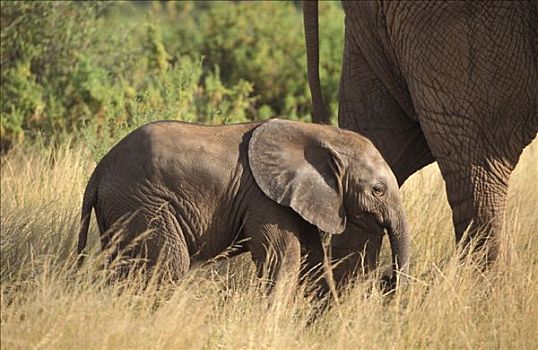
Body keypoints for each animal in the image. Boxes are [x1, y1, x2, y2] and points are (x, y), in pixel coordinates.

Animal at [77, 119, 408, 288]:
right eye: (378, 190)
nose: (386, 280)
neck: (321, 133)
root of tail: (99, 170)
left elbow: (311, 259)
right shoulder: (265, 199)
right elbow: (283, 259)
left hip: (122, 209)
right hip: (143, 204)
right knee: (170, 264)